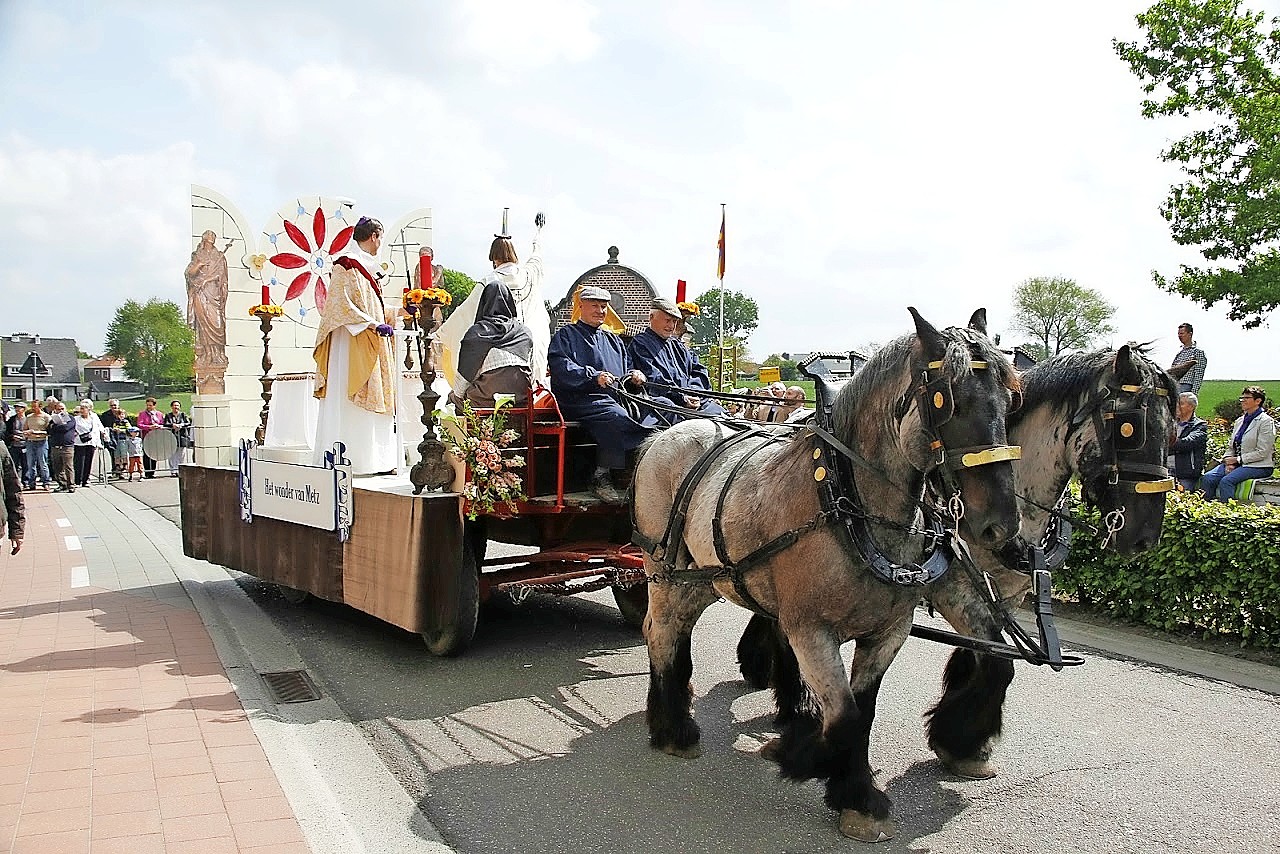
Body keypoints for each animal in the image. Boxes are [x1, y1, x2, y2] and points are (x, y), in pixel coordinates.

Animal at [634, 307, 1024, 839]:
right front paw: (818, 768)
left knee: (672, 628)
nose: (1001, 524)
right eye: (951, 400)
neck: (847, 501)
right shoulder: (810, 631)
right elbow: (842, 714)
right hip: (665, 571)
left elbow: (863, 712)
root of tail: (664, 432)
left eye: (1010, 399)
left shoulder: (888, 632)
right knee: (662, 632)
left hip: (708, 577)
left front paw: (841, 782)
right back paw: (674, 729)